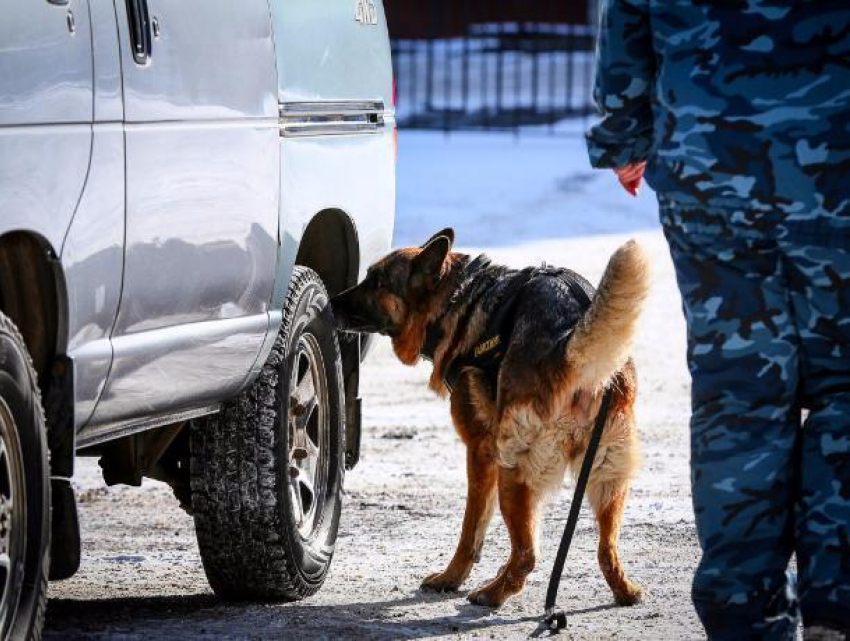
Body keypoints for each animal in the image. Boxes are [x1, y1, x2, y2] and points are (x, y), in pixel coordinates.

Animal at [328, 229, 644, 604]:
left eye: (376, 281)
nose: (330, 302)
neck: (455, 300)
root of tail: (568, 348)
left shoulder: (479, 451)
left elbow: (471, 528)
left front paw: (450, 578)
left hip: (512, 471)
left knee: (527, 555)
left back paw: (492, 593)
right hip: (609, 476)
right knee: (606, 549)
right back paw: (625, 591)